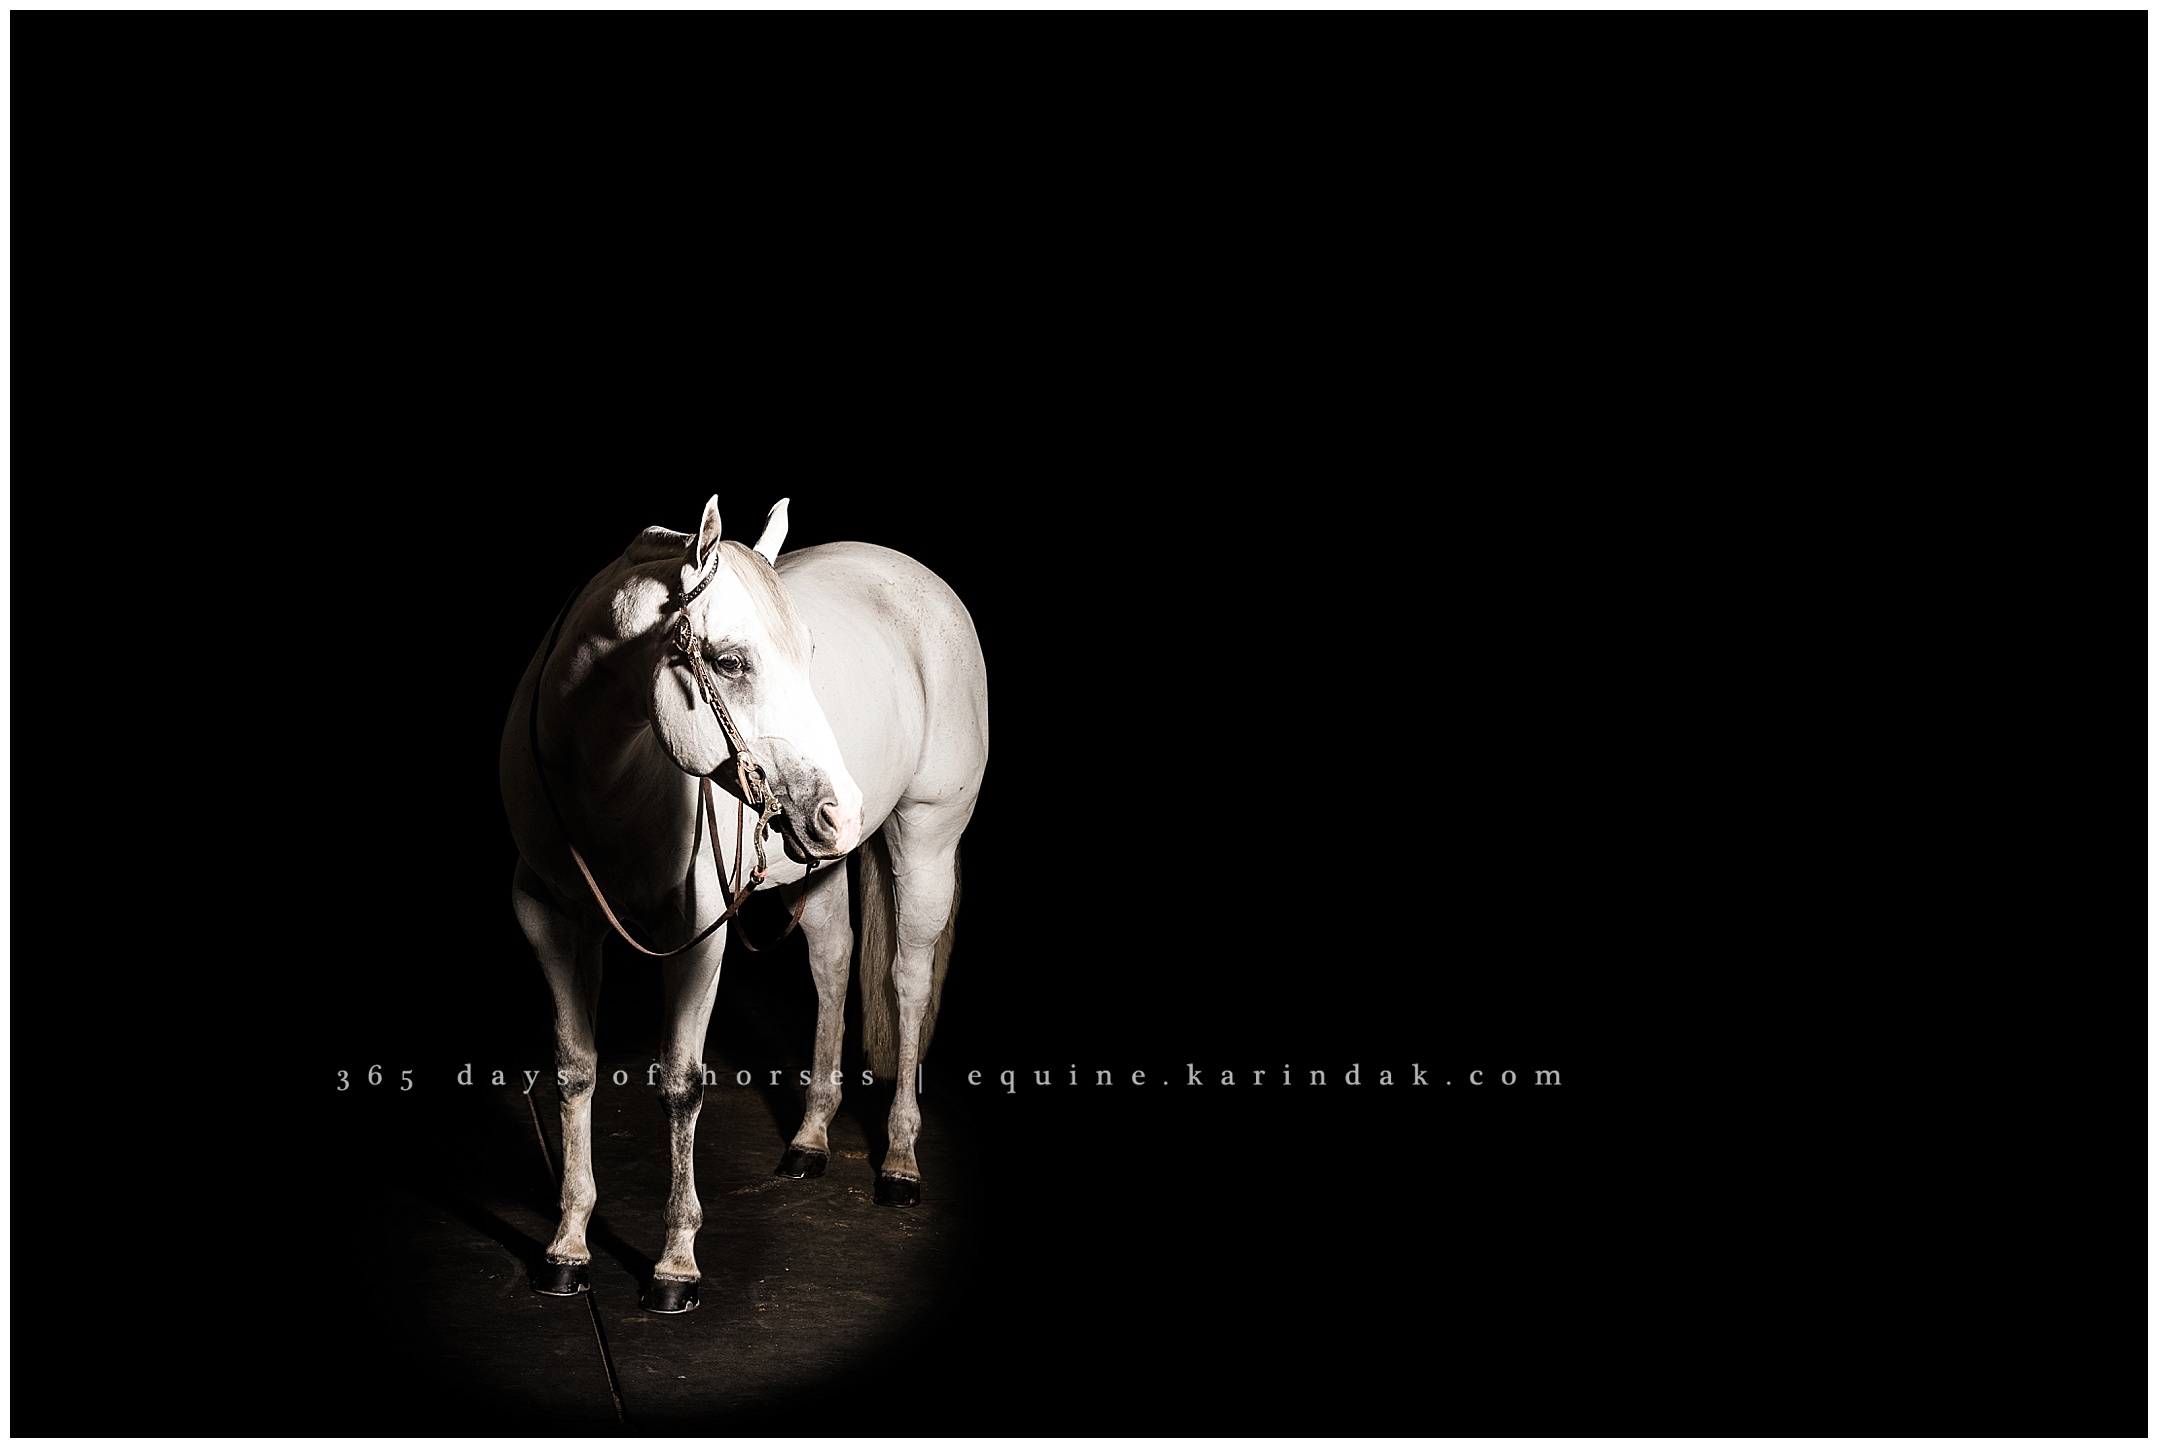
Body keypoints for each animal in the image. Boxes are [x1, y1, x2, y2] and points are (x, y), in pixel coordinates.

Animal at [498, 495, 989, 1314]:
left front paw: (675, 1265)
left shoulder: (698, 939)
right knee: (833, 966)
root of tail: (911, 571)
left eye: (811, 655)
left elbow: (681, 1084)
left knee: (908, 984)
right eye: (730, 663)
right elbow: (574, 1071)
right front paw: (567, 1246)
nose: (843, 811)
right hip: (817, 869)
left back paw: (898, 1160)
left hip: (924, 840)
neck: (606, 775)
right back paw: (811, 1139)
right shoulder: (553, 925)